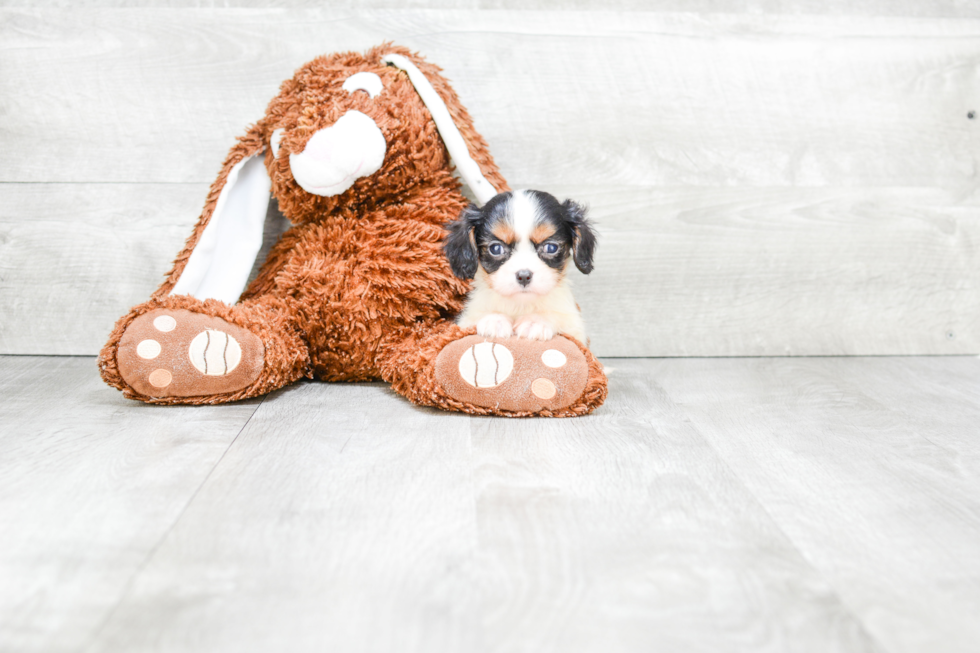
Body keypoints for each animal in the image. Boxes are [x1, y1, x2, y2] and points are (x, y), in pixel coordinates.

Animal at [446, 188, 596, 344]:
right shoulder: (466, 319)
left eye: (551, 247)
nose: (524, 276)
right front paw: (494, 319)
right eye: (496, 249)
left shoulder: (574, 328)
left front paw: (536, 321)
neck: (520, 305)